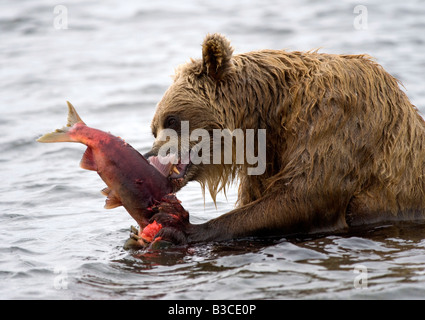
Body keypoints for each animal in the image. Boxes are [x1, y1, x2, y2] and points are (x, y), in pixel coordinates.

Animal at [142, 33, 424, 244]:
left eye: (171, 119)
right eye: (153, 128)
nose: (150, 154)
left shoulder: (336, 115)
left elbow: (306, 193)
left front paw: (180, 227)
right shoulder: (268, 156)